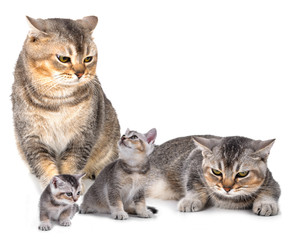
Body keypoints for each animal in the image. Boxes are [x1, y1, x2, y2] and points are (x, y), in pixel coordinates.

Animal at [11, 15, 120, 188]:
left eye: (88, 59)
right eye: (63, 58)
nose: (81, 73)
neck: (57, 101)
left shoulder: (82, 136)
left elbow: (72, 165)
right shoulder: (32, 138)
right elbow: (45, 168)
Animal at [147, 135, 280, 216]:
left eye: (242, 174)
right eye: (216, 172)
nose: (227, 188)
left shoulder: (272, 181)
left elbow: (271, 191)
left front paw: (266, 204)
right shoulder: (193, 162)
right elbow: (194, 186)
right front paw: (191, 200)